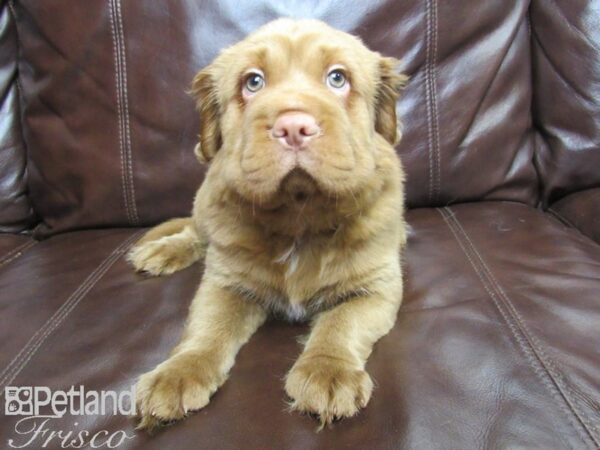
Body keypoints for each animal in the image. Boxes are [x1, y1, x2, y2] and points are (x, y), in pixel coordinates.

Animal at [127, 17, 408, 430]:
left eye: (337, 78)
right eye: (253, 82)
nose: (293, 127)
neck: (298, 215)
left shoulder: (377, 286)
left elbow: (342, 323)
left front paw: (328, 373)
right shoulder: (226, 282)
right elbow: (207, 327)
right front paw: (177, 374)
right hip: (204, 200)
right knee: (195, 230)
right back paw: (163, 251)